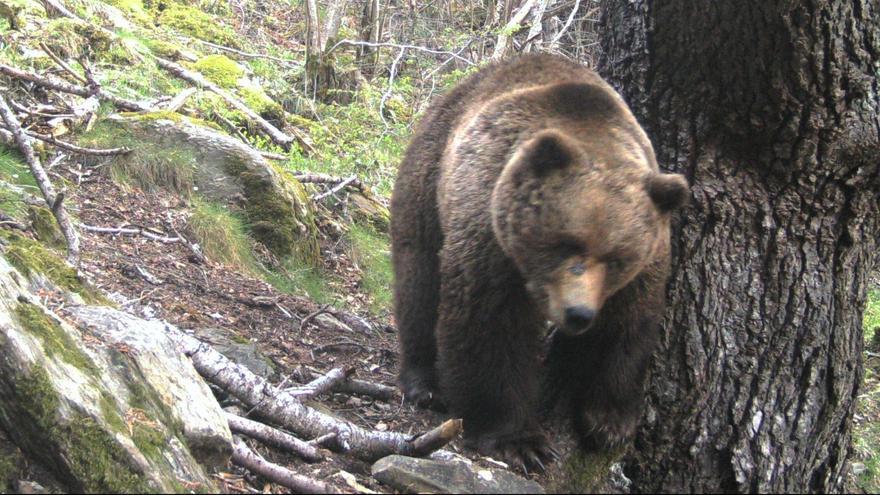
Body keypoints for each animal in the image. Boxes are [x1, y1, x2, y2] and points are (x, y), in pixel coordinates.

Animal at [390, 53, 688, 468]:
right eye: (564, 243)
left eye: (616, 258)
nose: (578, 313)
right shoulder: (491, 233)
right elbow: (490, 324)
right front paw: (520, 441)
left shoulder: (646, 263)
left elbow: (627, 327)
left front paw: (609, 423)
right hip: (431, 175)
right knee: (419, 276)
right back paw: (424, 382)